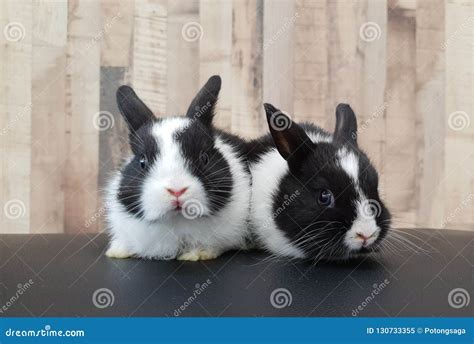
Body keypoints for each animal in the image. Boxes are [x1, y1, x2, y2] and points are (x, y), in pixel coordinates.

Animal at [103, 76, 252, 260]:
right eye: (142, 162)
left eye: (204, 158)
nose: (176, 190)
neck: (177, 222)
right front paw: (116, 251)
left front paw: (197, 254)